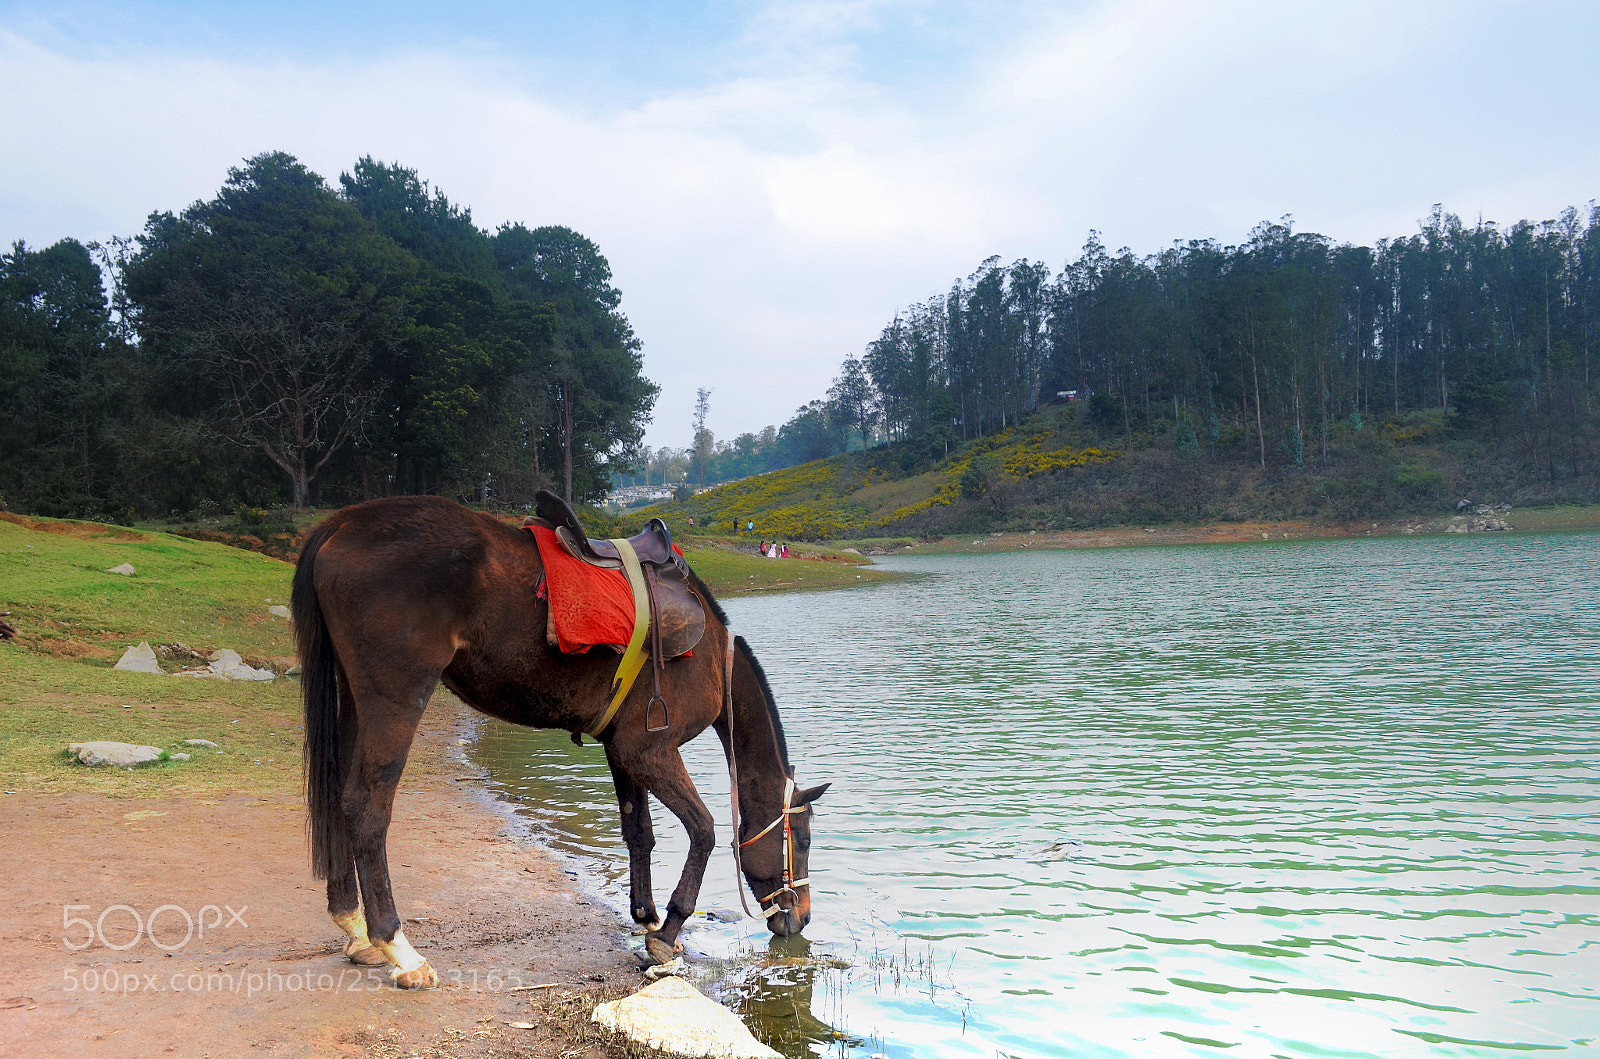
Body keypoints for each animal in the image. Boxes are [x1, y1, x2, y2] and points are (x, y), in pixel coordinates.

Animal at [291, 494, 829, 988]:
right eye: (802, 839)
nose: (801, 917)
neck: (713, 657)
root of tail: (343, 523)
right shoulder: (650, 749)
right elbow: (704, 829)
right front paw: (667, 931)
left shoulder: (622, 750)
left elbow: (639, 832)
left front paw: (645, 915)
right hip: (396, 697)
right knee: (367, 806)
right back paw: (398, 948)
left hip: (354, 699)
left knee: (338, 798)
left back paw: (355, 928)